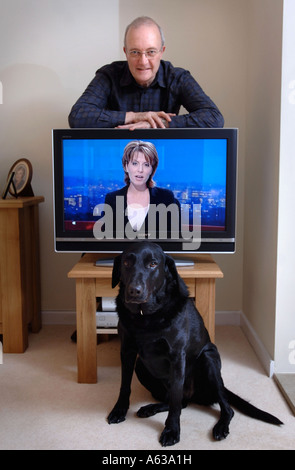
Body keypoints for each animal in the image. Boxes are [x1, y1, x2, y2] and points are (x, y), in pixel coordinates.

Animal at [107, 241, 284, 446]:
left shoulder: (177, 357)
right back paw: (150, 408)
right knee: (181, 401)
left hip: (208, 361)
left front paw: (172, 430)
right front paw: (119, 410)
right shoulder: (127, 351)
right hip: (141, 367)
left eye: (153, 264)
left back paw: (221, 427)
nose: (134, 291)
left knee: (223, 407)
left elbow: (176, 400)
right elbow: (124, 385)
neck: (146, 316)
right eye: (126, 263)